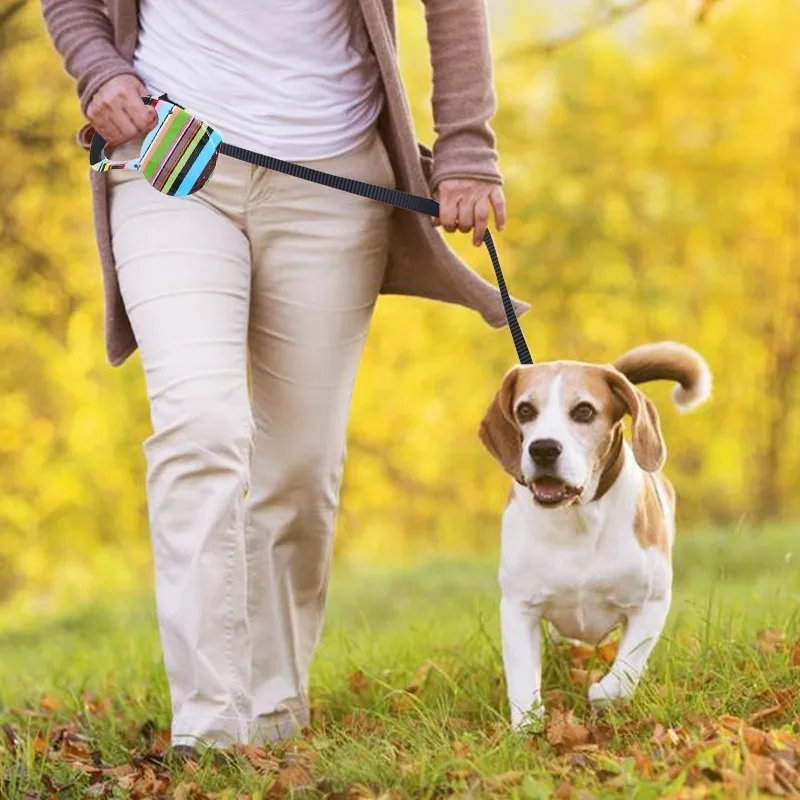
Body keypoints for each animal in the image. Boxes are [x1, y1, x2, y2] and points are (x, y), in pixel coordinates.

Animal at [478, 340, 708, 724]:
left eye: (584, 411)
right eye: (525, 410)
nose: (543, 449)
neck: (577, 518)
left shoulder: (651, 603)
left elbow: (626, 668)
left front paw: (603, 693)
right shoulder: (518, 607)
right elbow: (523, 676)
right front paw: (527, 726)